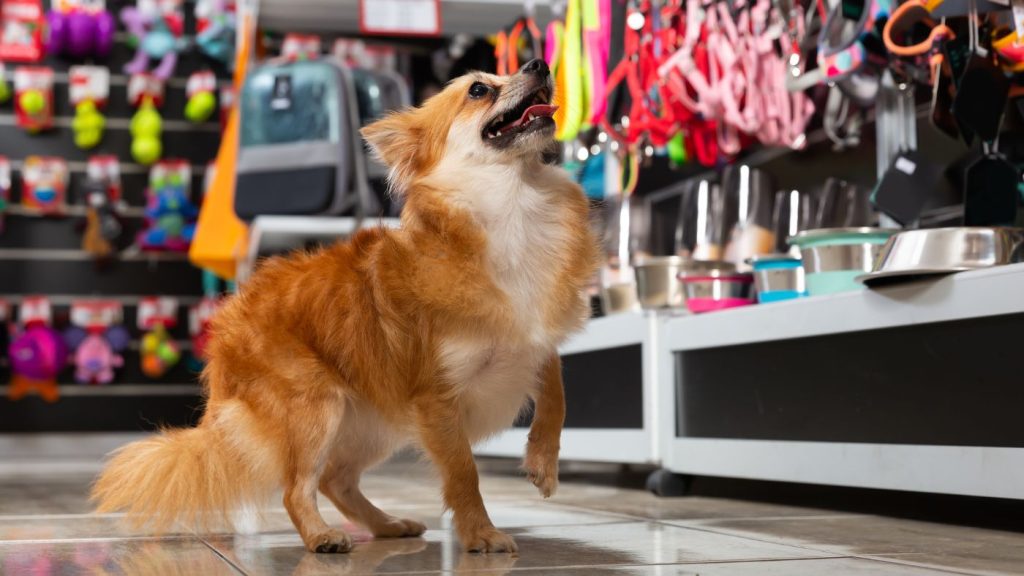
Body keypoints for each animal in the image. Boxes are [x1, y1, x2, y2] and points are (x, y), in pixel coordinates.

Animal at [92, 58, 599, 555]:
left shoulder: (533, 340)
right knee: (298, 488)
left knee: (335, 480)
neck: (514, 203)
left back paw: (387, 525)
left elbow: (557, 391)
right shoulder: (437, 398)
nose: (539, 62)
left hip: (376, 423)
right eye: (478, 90)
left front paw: (543, 462)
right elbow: (463, 473)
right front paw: (481, 534)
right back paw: (322, 536)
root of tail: (226, 329)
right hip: (316, 407)